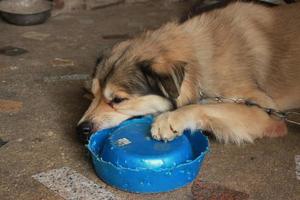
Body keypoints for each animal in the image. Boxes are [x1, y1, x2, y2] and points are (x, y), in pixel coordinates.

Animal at [77, 1, 300, 144]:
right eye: (93, 95)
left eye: (118, 100)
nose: (81, 130)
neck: (200, 62)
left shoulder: (267, 113)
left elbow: (205, 107)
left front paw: (169, 119)